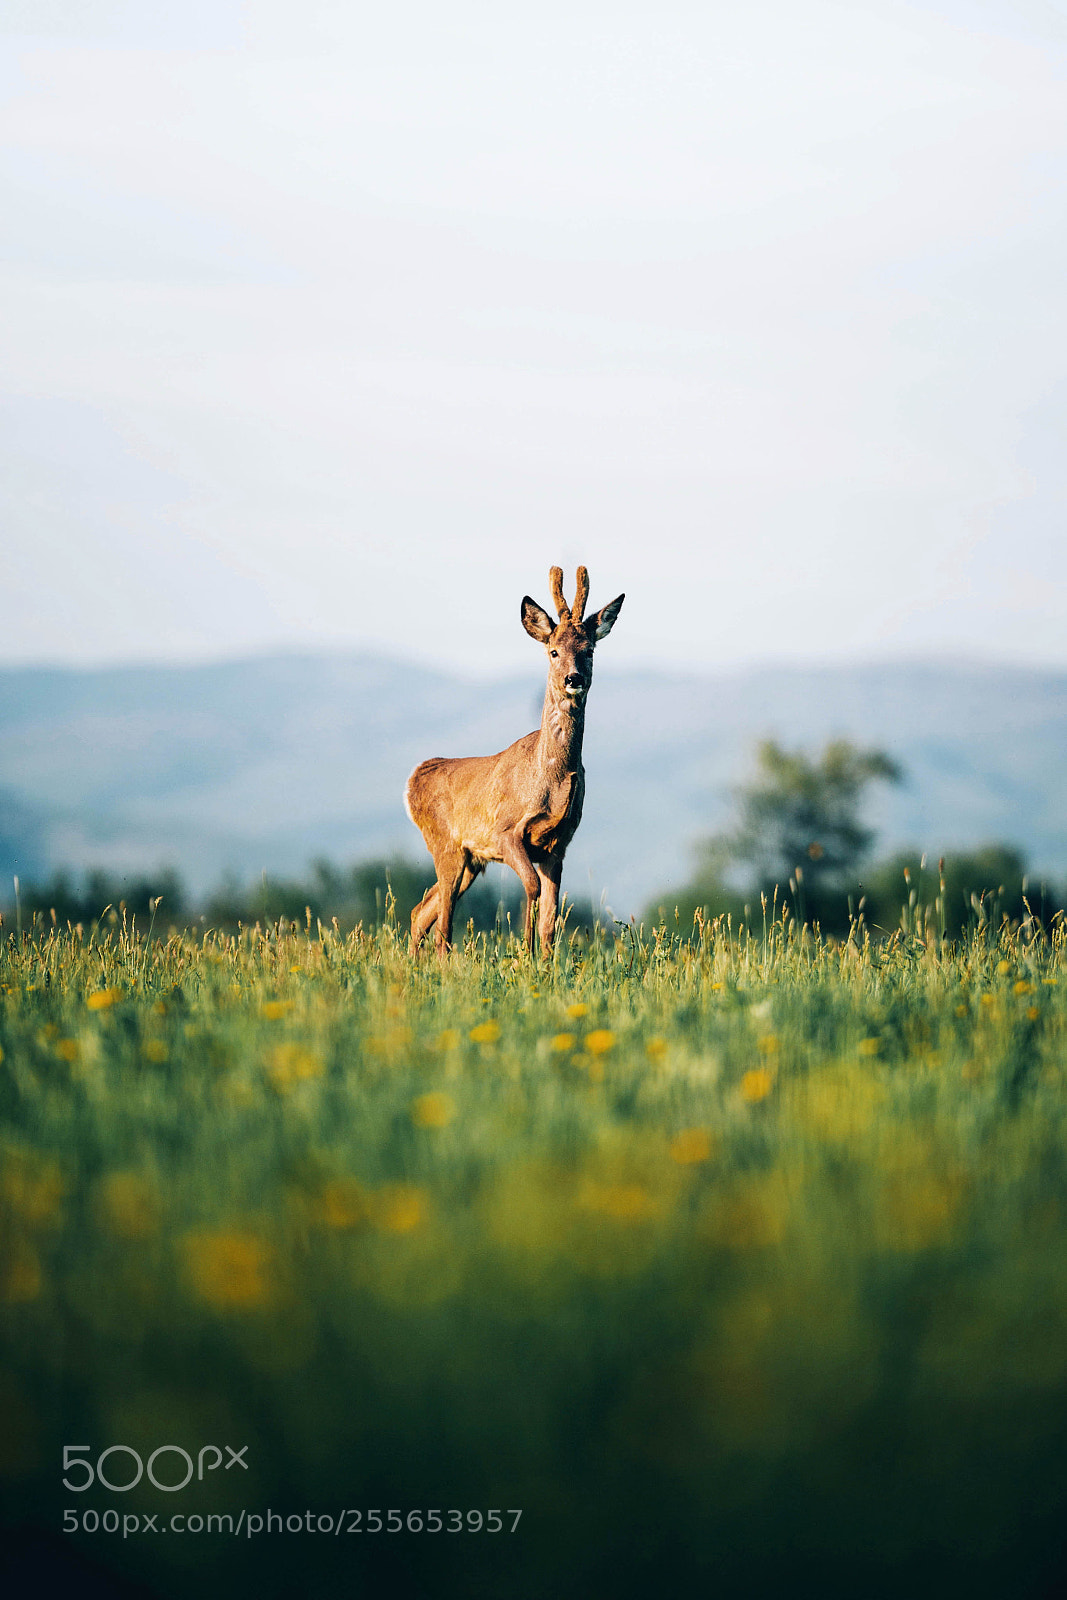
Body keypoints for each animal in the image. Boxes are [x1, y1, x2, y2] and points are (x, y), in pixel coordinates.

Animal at [405, 565, 624, 956]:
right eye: (553, 651)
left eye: (589, 650)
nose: (574, 678)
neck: (551, 779)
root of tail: (413, 779)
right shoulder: (506, 832)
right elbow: (532, 888)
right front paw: (524, 952)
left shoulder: (558, 845)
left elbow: (552, 913)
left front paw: (546, 960)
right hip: (446, 844)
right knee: (442, 922)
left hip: (471, 859)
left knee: (421, 911)